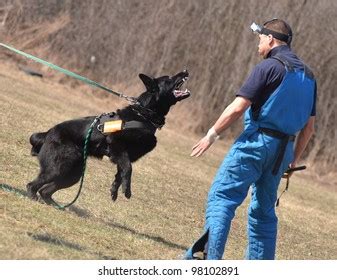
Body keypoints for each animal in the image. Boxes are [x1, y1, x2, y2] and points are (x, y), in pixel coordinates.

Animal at [27, 70, 190, 206]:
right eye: (169, 78)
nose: (185, 70)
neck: (143, 115)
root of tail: (47, 133)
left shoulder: (124, 155)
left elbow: (121, 172)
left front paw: (115, 189)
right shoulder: (116, 145)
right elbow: (128, 169)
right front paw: (127, 189)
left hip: (73, 174)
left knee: (45, 190)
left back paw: (54, 205)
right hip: (59, 167)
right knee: (33, 185)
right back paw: (32, 196)